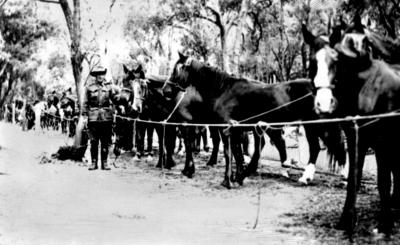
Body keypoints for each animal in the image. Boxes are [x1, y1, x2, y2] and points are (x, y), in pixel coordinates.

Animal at [162, 53, 346, 188]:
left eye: (177, 69)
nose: (166, 90)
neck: (223, 90)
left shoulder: (226, 128)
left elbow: (229, 153)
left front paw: (228, 180)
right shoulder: (236, 129)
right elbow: (237, 153)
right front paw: (238, 176)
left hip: (318, 125)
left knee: (333, 147)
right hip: (311, 126)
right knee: (318, 148)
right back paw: (308, 177)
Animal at [304, 17, 400, 235]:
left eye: (335, 62)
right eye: (312, 63)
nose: (323, 104)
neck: (368, 86)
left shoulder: (381, 141)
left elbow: (383, 180)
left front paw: (386, 224)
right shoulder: (356, 136)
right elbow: (353, 178)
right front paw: (346, 220)